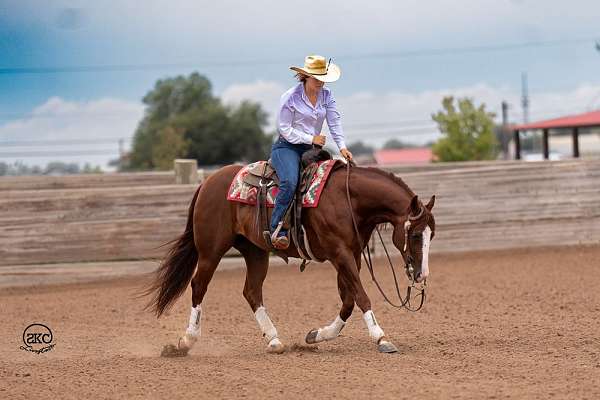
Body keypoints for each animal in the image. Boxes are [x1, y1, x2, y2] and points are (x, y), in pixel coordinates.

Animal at [146, 162, 436, 356]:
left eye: (431, 234)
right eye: (415, 234)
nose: (421, 275)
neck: (348, 200)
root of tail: (207, 182)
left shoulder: (351, 255)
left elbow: (349, 300)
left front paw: (317, 335)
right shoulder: (340, 254)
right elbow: (361, 296)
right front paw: (381, 338)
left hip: (255, 251)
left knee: (251, 291)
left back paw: (274, 340)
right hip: (211, 250)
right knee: (199, 286)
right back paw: (187, 341)